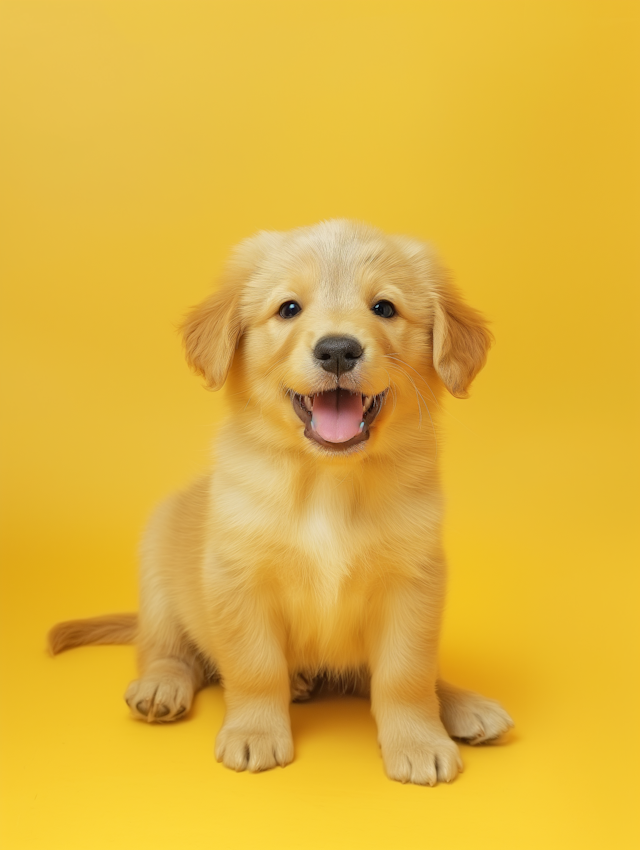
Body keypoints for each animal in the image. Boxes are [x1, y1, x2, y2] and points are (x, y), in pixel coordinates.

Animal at [47, 217, 512, 780]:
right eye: (289, 308)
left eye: (384, 308)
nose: (338, 349)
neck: (327, 482)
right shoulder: (237, 578)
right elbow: (256, 667)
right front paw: (255, 733)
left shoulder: (414, 582)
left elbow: (405, 675)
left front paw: (420, 740)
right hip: (157, 568)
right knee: (167, 649)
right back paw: (163, 684)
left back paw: (466, 706)